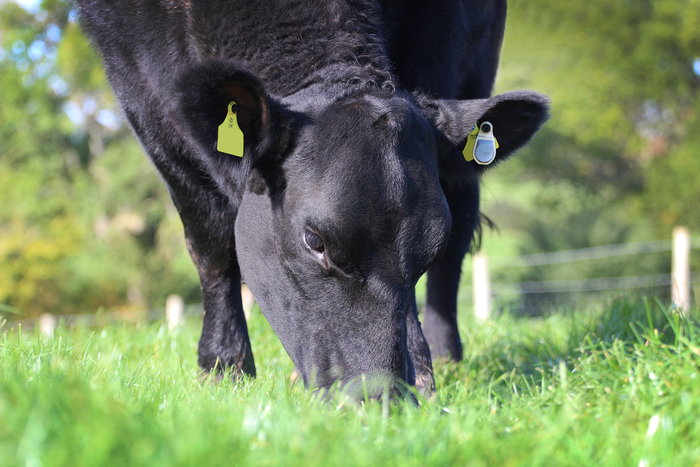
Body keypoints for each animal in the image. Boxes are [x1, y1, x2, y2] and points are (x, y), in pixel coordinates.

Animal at [75, 0, 549, 398]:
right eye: (314, 242)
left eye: (430, 247)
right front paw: (224, 367)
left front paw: (422, 375)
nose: (380, 397)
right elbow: (210, 243)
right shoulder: (143, 93)